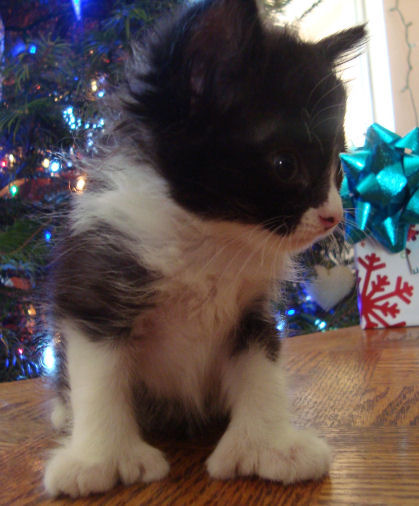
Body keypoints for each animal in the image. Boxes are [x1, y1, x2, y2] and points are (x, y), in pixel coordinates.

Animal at [41, 0, 364, 498]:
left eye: (338, 168)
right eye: (285, 165)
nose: (332, 215)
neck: (210, 239)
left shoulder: (252, 313)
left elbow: (261, 372)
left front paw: (270, 446)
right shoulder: (94, 286)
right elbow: (99, 378)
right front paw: (100, 460)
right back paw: (65, 412)